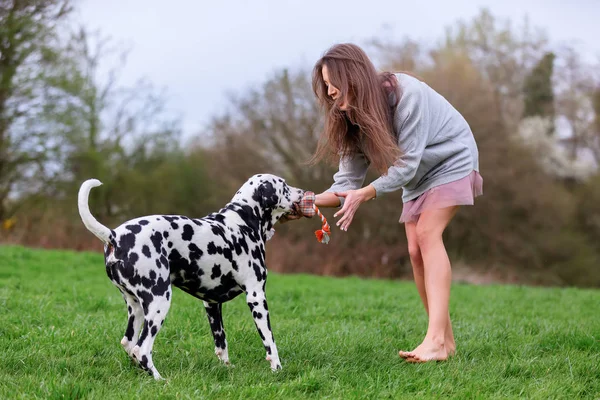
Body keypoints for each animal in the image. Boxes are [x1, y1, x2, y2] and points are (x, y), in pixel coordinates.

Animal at [77, 173, 304, 380]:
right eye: (284, 185)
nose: (302, 192)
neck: (243, 220)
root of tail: (115, 235)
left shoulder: (211, 304)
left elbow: (221, 343)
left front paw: (227, 369)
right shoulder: (256, 297)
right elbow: (270, 342)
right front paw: (276, 368)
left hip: (137, 308)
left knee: (129, 344)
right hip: (159, 302)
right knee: (141, 349)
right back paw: (160, 379)